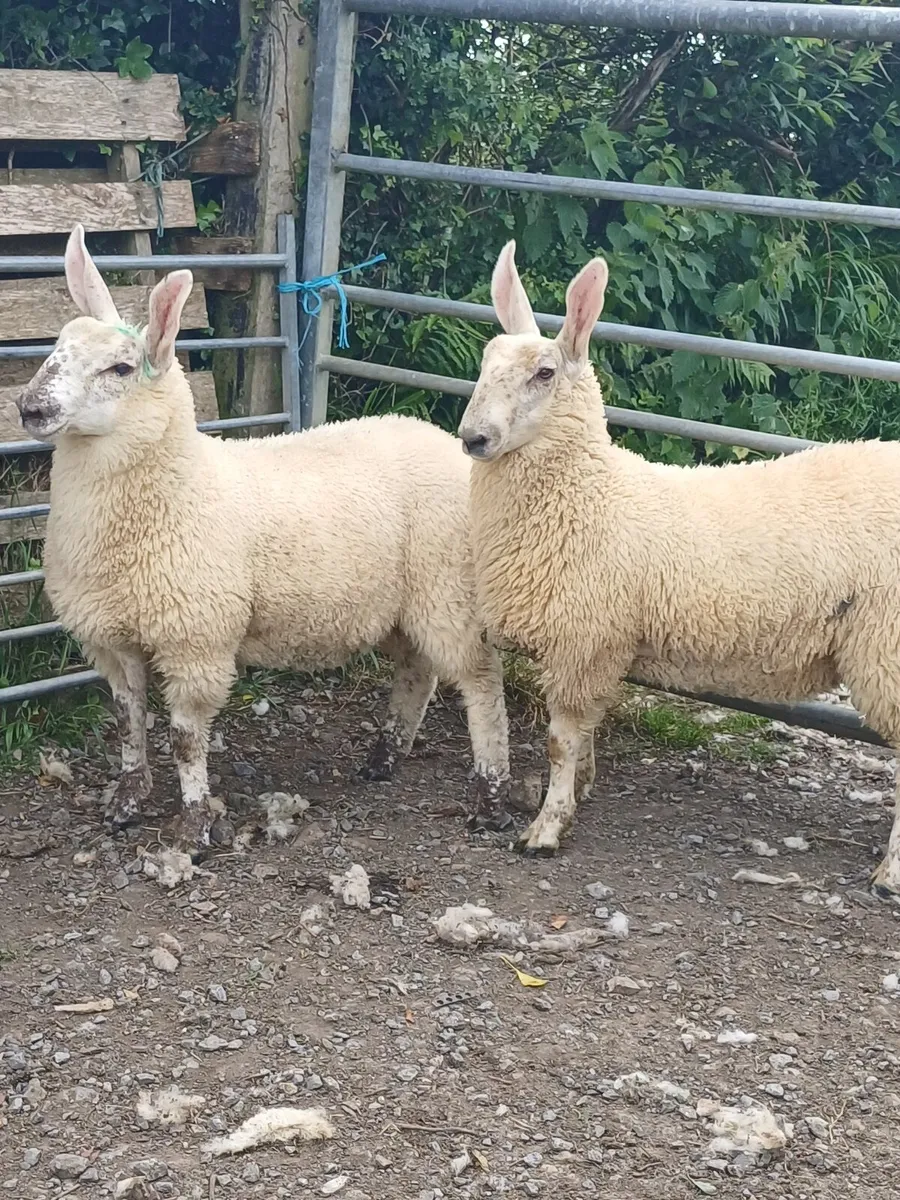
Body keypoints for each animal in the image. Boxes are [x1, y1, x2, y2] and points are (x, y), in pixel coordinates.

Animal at [16, 223, 511, 855]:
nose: (30, 407)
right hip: (404, 603)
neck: (175, 491)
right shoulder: (111, 637)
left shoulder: (196, 639)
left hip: (448, 588)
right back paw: (383, 759)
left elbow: (185, 738)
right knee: (416, 673)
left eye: (122, 369)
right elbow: (128, 722)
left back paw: (490, 797)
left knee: (482, 682)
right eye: (57, 344)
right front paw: (125, 804)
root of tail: (442, 440)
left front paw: (192, 825)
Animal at [457, 240, 900, 897]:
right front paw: (581, 791)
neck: (587, 496)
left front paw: (547, 828)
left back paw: (889, 874)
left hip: (887, 644)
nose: (473, 438)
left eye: (545, 373)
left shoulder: (583, 638)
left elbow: (561, 742)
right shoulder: (602, 644)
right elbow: (585, 736)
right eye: (486, 361)